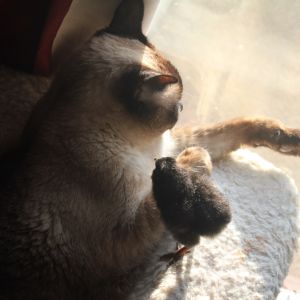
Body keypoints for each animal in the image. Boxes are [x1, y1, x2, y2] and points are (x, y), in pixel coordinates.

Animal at [0, 0, 300, 300]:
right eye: (176, 104)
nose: (182, 109)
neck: (138, 146)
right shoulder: (125, 235)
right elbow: (184, 171)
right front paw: (194, 159)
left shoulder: (169, 144)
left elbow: (230, 129)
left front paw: (289, 138)